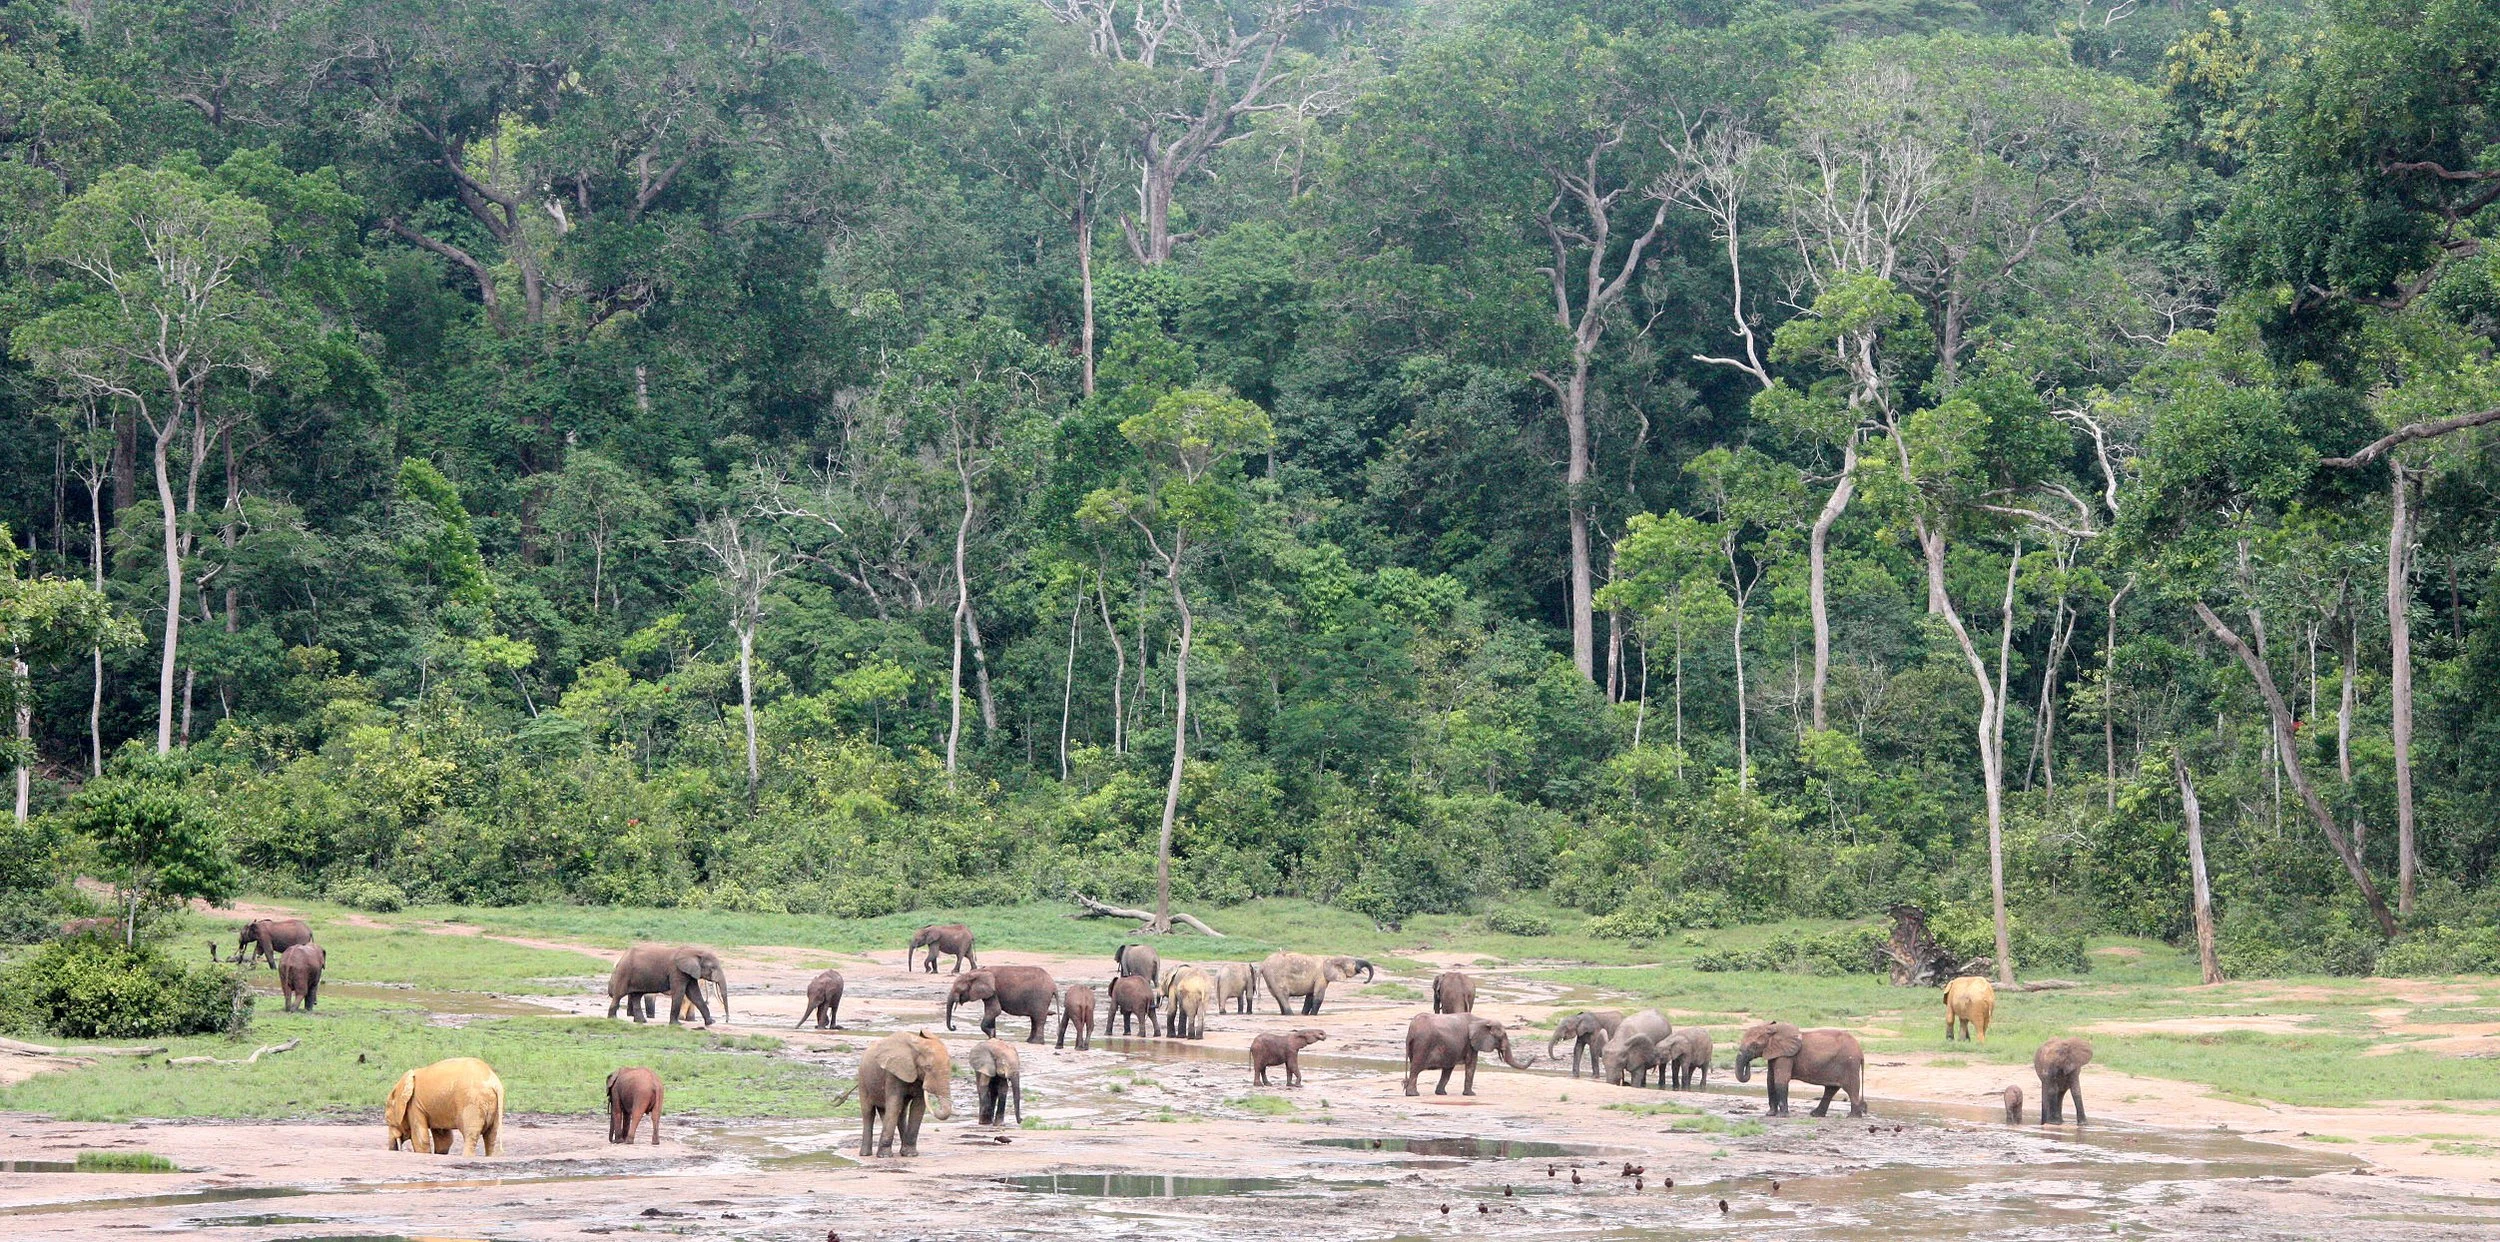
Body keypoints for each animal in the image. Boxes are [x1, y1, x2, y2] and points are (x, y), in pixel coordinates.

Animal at [1403, 1013, 1535, 1096]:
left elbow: (1448, 1069)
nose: (1535, 1057)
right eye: (1502, 1036)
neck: (1482, 1020)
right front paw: (1471, 1094)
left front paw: (1441, 1093)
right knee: (1416, 1068)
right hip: (1423, 1044)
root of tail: (1411, 1028)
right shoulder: (1470, 1044)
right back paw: (1413, 1094)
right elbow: (1472, 1065)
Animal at [1734, 1021, 1866, 1118]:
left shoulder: (1786, 1056)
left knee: (1851, 1088)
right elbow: (1770, 1081)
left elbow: (1780, 1080)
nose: (1748, 1064)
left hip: (1849, 1063)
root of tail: (1860, 1052)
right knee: (1831, 1089)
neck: (1772, 1029)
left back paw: (1852, 1116)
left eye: (1754, 1045)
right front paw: (1770, 1114)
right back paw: (1816, 1114)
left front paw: (1782, 1116)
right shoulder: (1775, 1053)